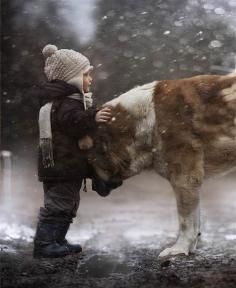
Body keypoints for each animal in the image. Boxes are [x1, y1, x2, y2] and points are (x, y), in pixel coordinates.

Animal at [79, 73, 236, 258]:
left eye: (89, 167)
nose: (93, 188)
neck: (146, 119)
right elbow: (195, 220)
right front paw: (189, 248)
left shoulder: (184, 178)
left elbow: (185, 220)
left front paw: (179, 249)